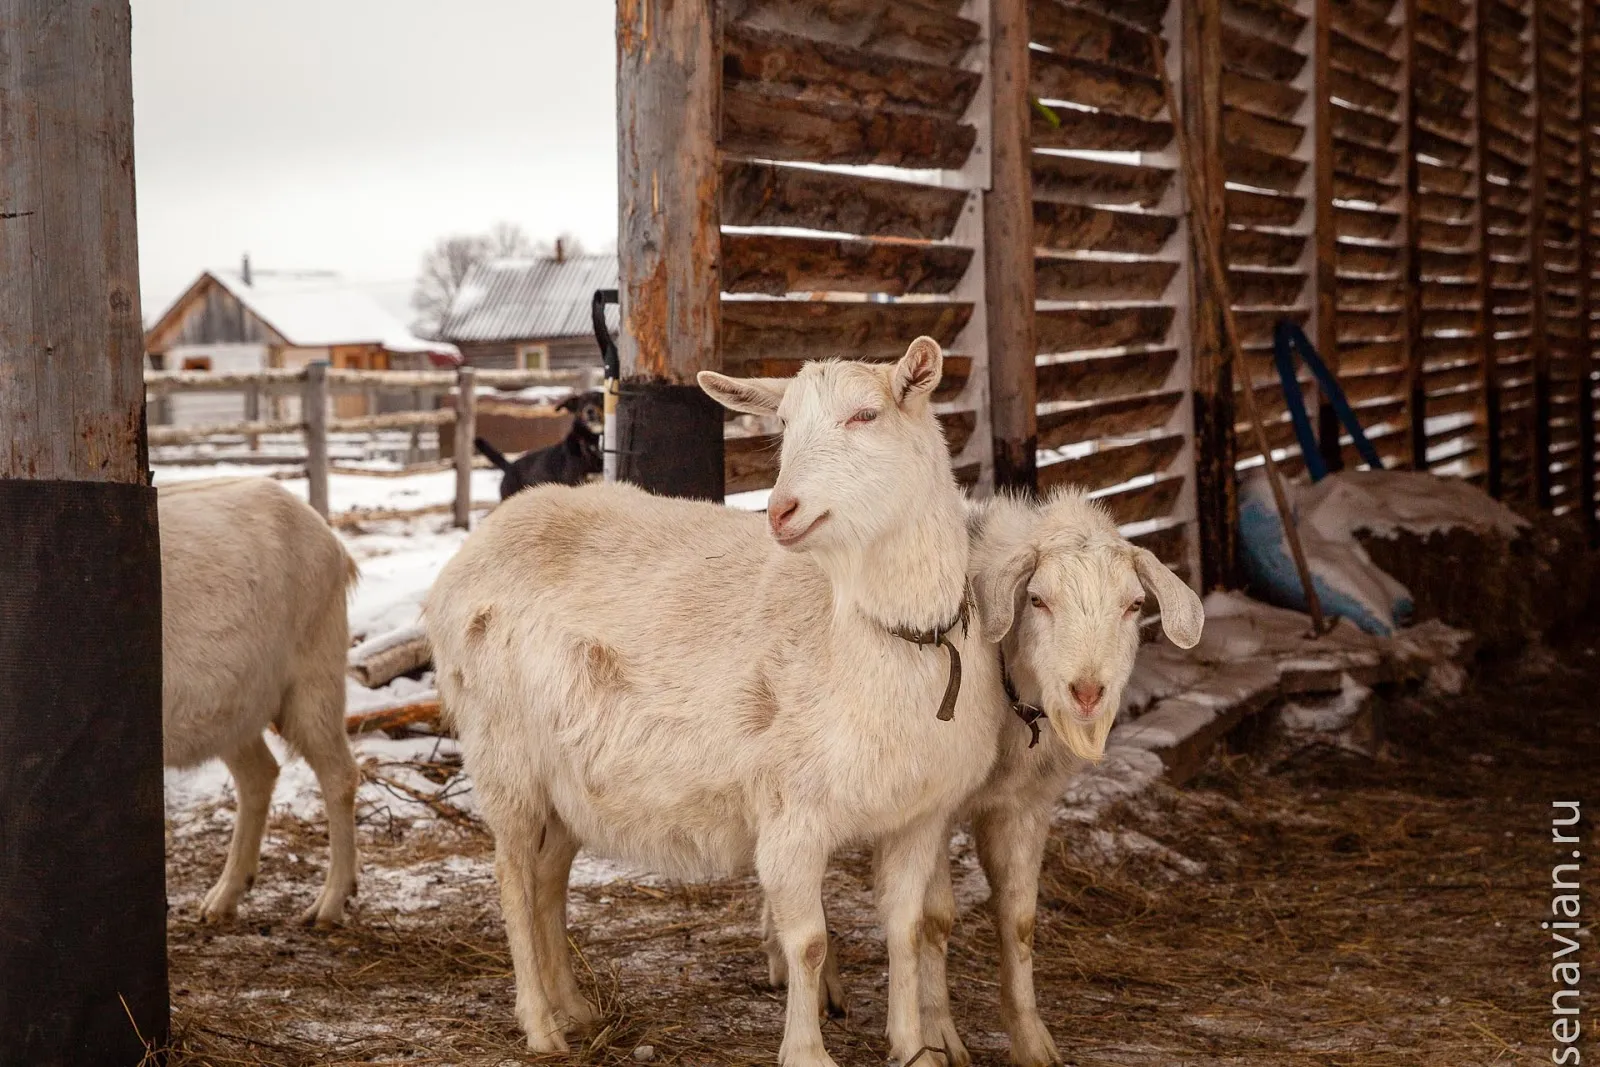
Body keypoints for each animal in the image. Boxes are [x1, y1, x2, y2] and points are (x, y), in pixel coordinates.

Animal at [159, 477, 361, 926]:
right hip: (235, 705)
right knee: (259, 774)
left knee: (339, 775)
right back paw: (223, 897)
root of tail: (337, 546)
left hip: (314, 676)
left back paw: (328, 904)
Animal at [761, 491, 1205, 1066]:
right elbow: (934, 918)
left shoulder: (1024, 804)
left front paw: (1032, 1042)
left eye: (1133, 605)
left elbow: (1019, 921)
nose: (1087, 693)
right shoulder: (937, 803)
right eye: (1037, 599)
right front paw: (938, 1032)